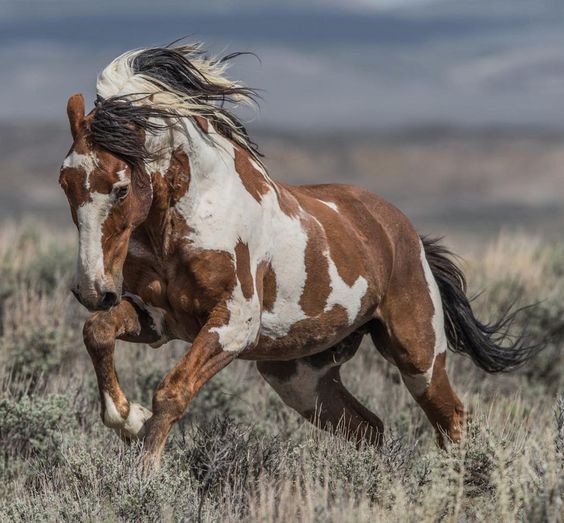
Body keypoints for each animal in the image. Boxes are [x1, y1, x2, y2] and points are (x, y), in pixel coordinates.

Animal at [59, 43, 540, 464]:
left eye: (121, 188)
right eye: (64, 183)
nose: (92, 290)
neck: (185, 220)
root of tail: (406, 234)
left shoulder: (232, 325)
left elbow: (172, 391)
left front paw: (143, 473)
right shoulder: (159, 319)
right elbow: (97, 332)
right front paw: (127, 418)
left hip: (418, 356)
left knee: (451, 420)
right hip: (301, 377)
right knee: (368, 428)